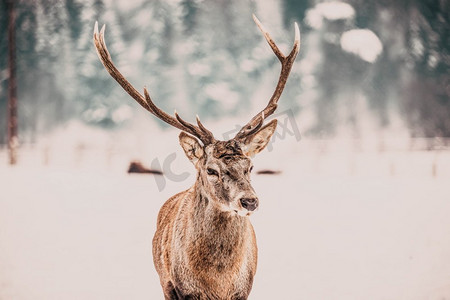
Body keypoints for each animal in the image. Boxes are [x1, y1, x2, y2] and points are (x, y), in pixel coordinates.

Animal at [93, 15, 300, 300]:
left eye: (250, 166)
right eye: (211, 170)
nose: (249, 201)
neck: (218, 282)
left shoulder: (244, 290)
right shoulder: (180, 288)